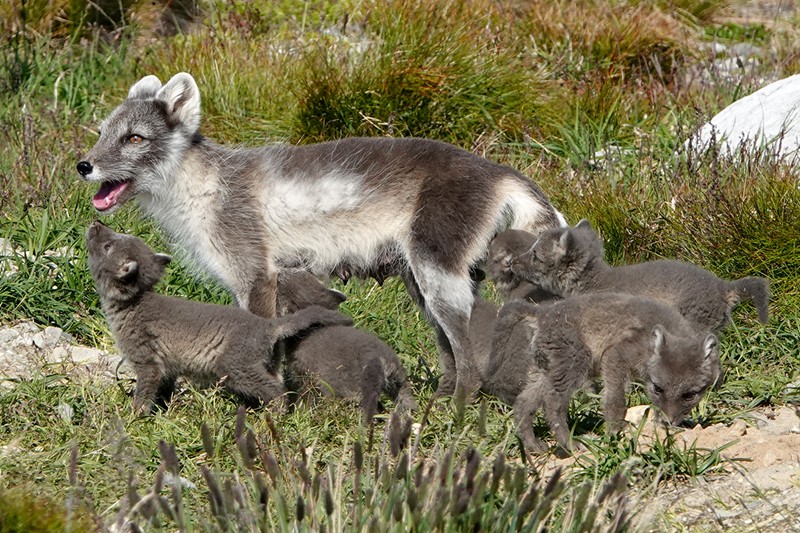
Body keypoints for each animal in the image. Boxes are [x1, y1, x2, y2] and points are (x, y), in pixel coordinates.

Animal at [78, 71, 568, 394]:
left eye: (135, 138)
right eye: (102, 133)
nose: (83, 165)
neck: (202, 187)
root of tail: (497, 170)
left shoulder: (256, 275)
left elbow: (265, 340)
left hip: (437, 275)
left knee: (467, 355)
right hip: (422, 283)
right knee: (449, 349)